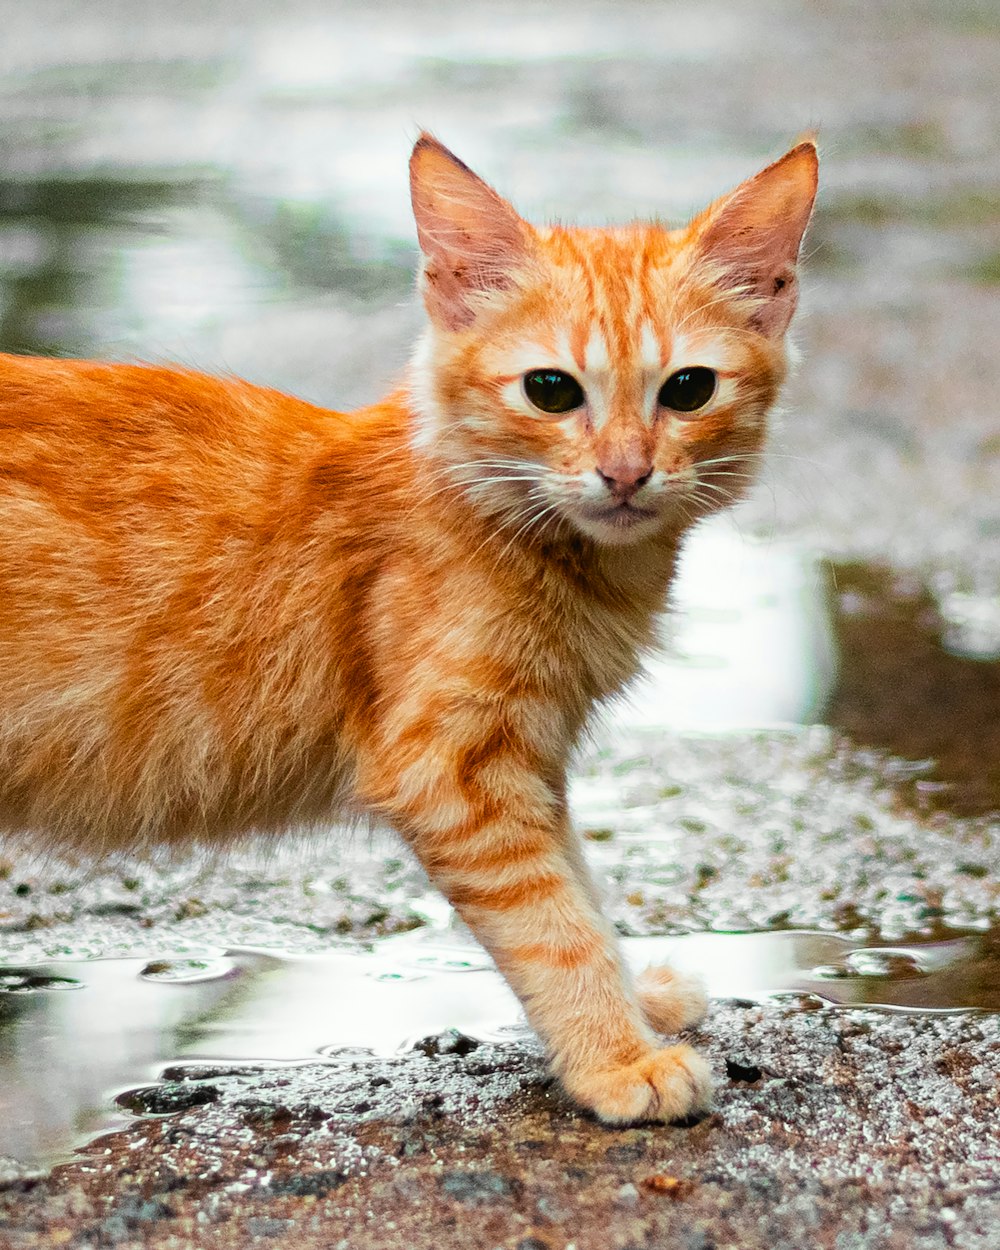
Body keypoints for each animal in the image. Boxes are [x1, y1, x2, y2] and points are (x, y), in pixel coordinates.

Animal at [0, 134, 810, 1125]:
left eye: (688, 389)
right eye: (551, 390)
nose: (626, 473)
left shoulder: (532, 762)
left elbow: (582, 889)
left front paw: (634, 1009)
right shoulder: (453, 773)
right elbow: (553, 924)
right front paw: (618, 1060)